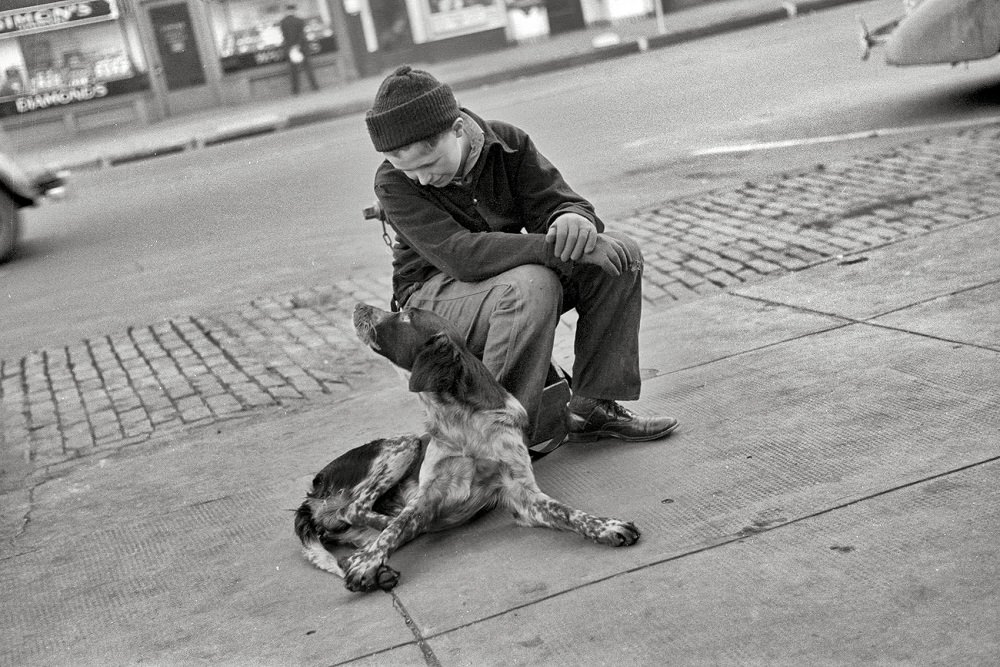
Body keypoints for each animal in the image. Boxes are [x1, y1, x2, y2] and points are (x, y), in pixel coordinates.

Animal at [294, 306, 640, 592]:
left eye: (406, 316)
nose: (357, 307)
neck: (461, 421)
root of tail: (312, 494)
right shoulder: (428, 492)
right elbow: (397, 528)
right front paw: (369, 560)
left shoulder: (522, 494)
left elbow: (568, 512)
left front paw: (606, 526)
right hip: (404, 443)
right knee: (359, 511)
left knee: (357, 526)